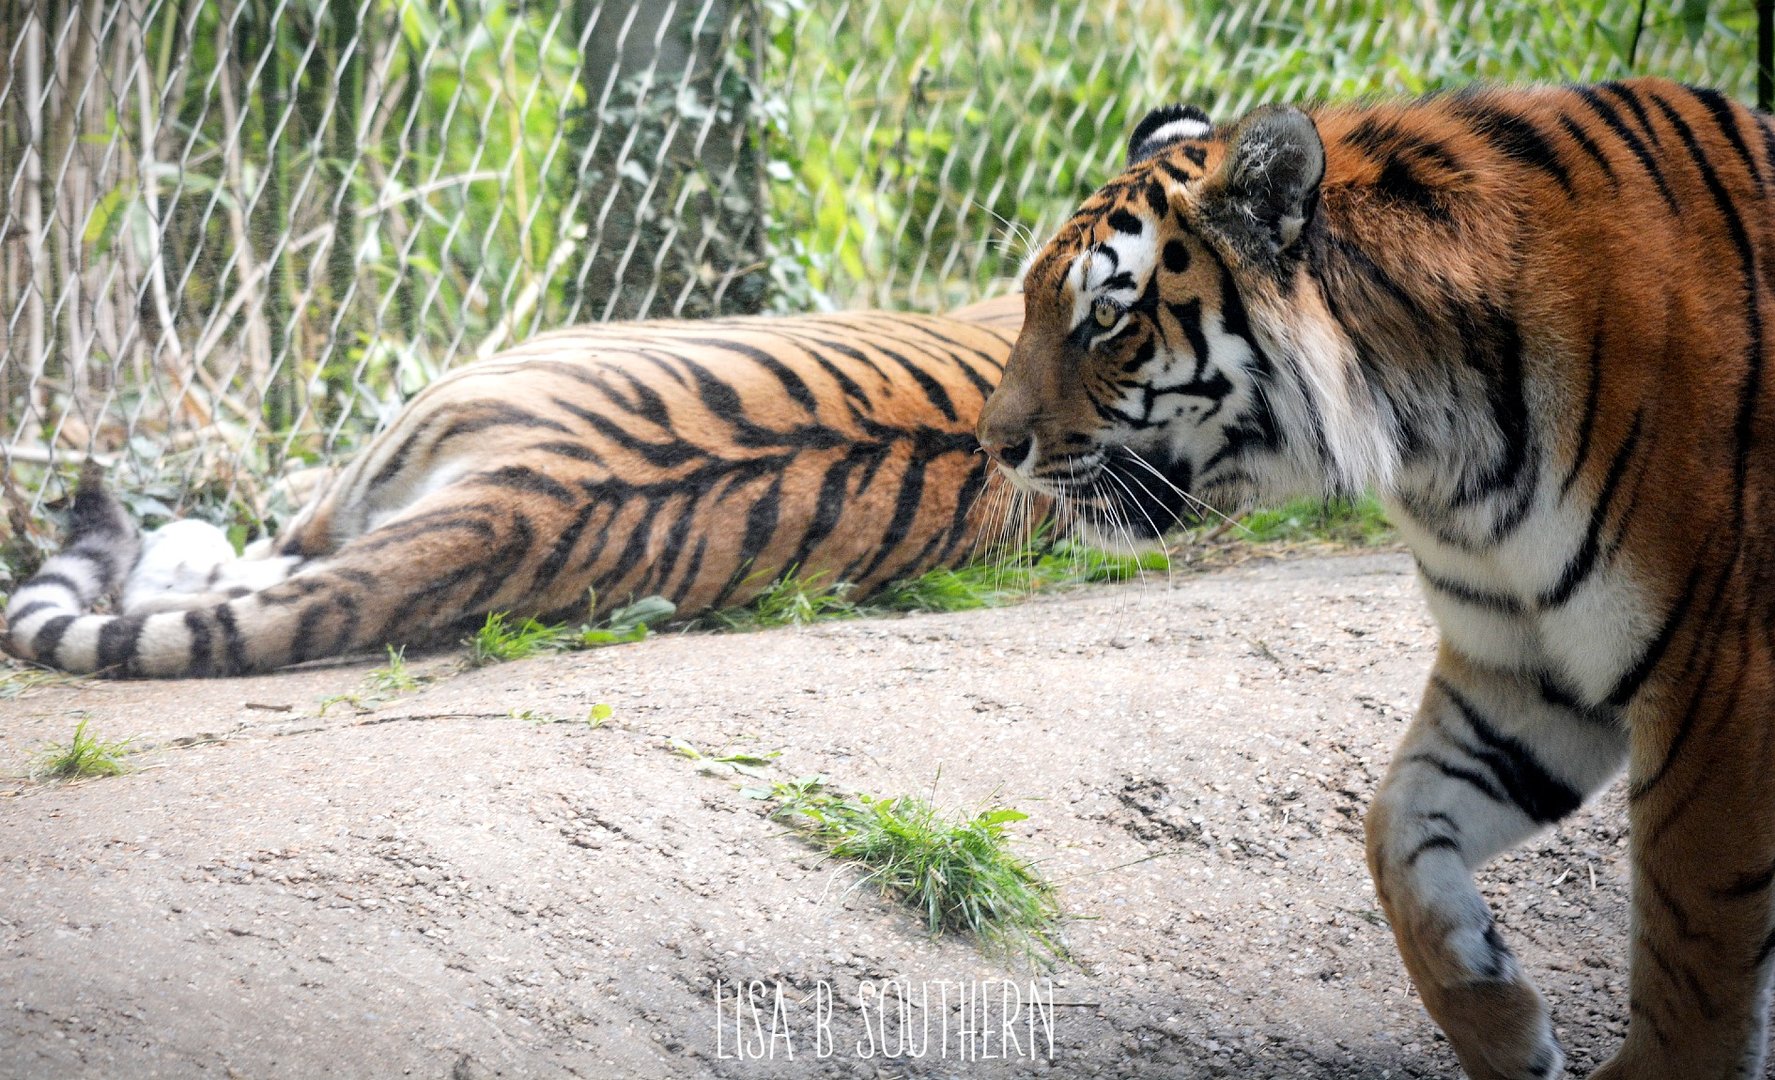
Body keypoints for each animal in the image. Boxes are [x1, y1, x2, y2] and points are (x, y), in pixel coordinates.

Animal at [977, 78, 1775, 1079]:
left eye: (1107, 320)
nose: (991, 445)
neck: (1448, 452)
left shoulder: (1716, 677)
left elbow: (1692, 939)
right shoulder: (1522, 665)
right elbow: (1394, 829)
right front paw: (1502, 1027)